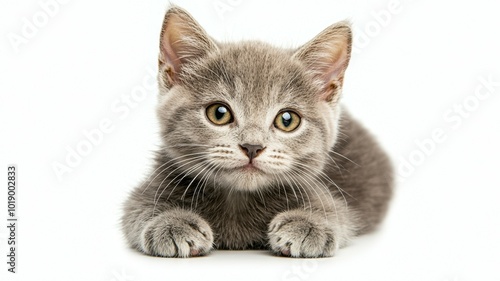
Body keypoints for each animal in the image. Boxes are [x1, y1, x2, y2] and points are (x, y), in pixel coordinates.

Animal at [122, 5, 394, 258]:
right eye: (219, 113)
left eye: (287, 120)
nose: (252, 146)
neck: (237, 201)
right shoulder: (146, 190)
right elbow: (137, 208)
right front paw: (172, 223)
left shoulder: (330, 198)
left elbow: (336, 213)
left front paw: (307, 226)